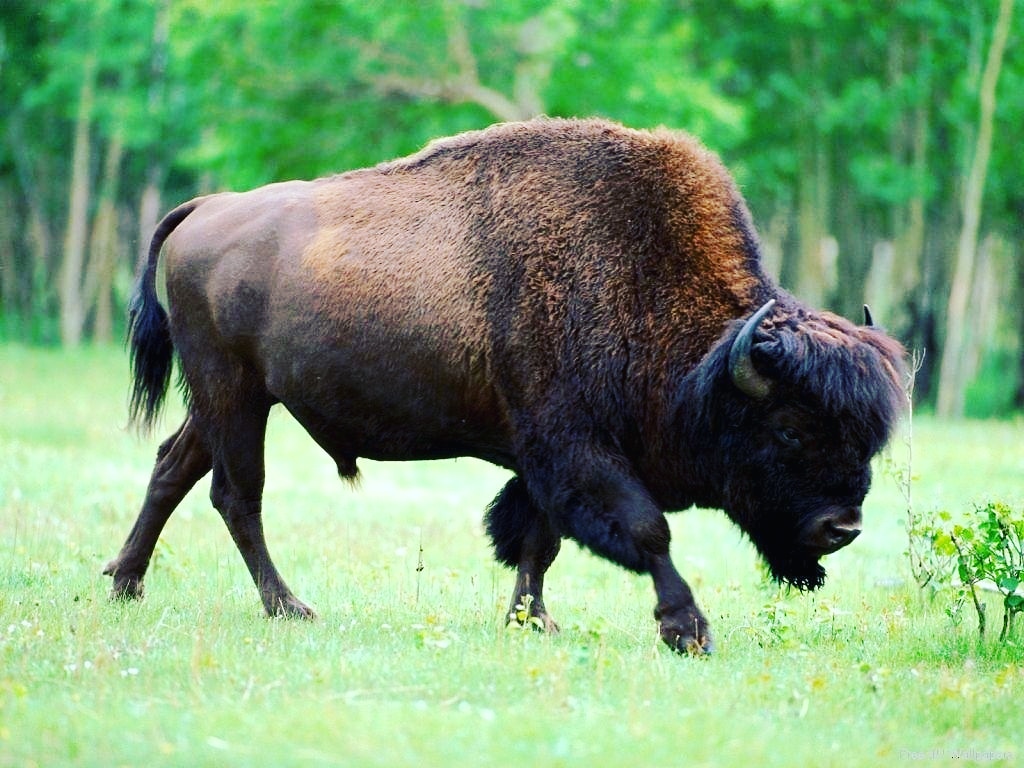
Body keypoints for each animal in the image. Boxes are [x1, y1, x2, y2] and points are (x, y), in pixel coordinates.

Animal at [105, 117, 906, 653]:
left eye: (866, 438)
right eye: (789, 429)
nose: (842, 528)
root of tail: (207, 207)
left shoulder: (545, 458)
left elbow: (537, 539)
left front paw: (533, 618)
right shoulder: (574, 448)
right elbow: (645, 529)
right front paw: (687, 630)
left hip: (229, 400)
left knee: (173, 468)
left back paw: (124, 581)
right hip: (234, 393)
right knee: (236, 494)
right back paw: (287, 606)